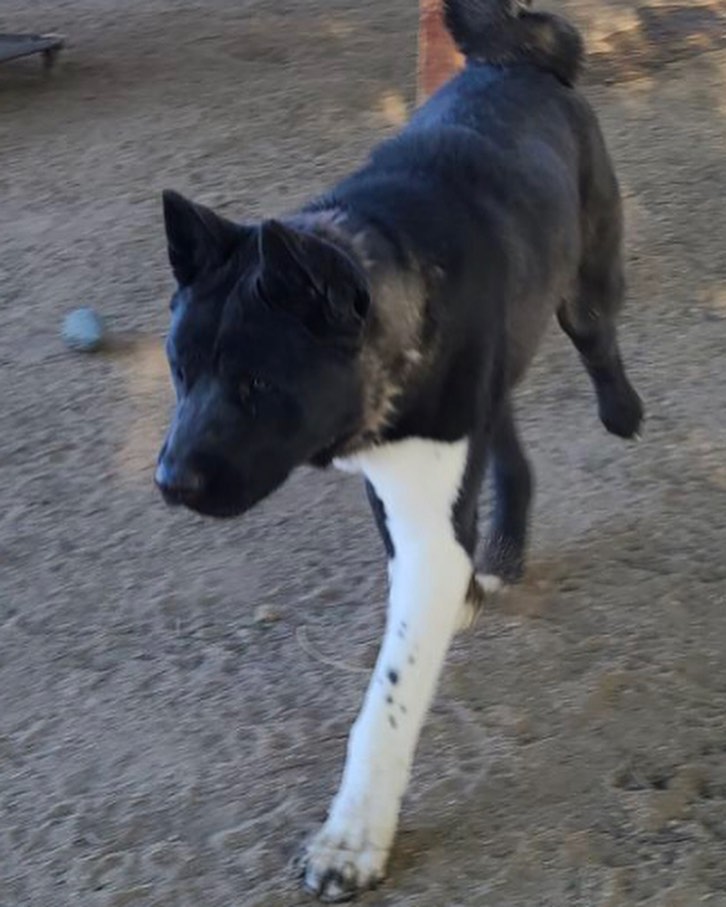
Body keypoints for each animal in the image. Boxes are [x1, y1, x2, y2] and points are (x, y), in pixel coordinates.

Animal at [158, 1, 644, 900]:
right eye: (180, 368)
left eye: (253, 384)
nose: (170, 480)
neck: (395, 277)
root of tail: (517, 57)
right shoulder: (406, 493)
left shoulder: (427, 527)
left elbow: (383, 704)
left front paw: (352, 837)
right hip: (492, 376)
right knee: (512, 456)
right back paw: (500, 555)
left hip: (583, 288)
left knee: (598, 338)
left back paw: (620, 407)